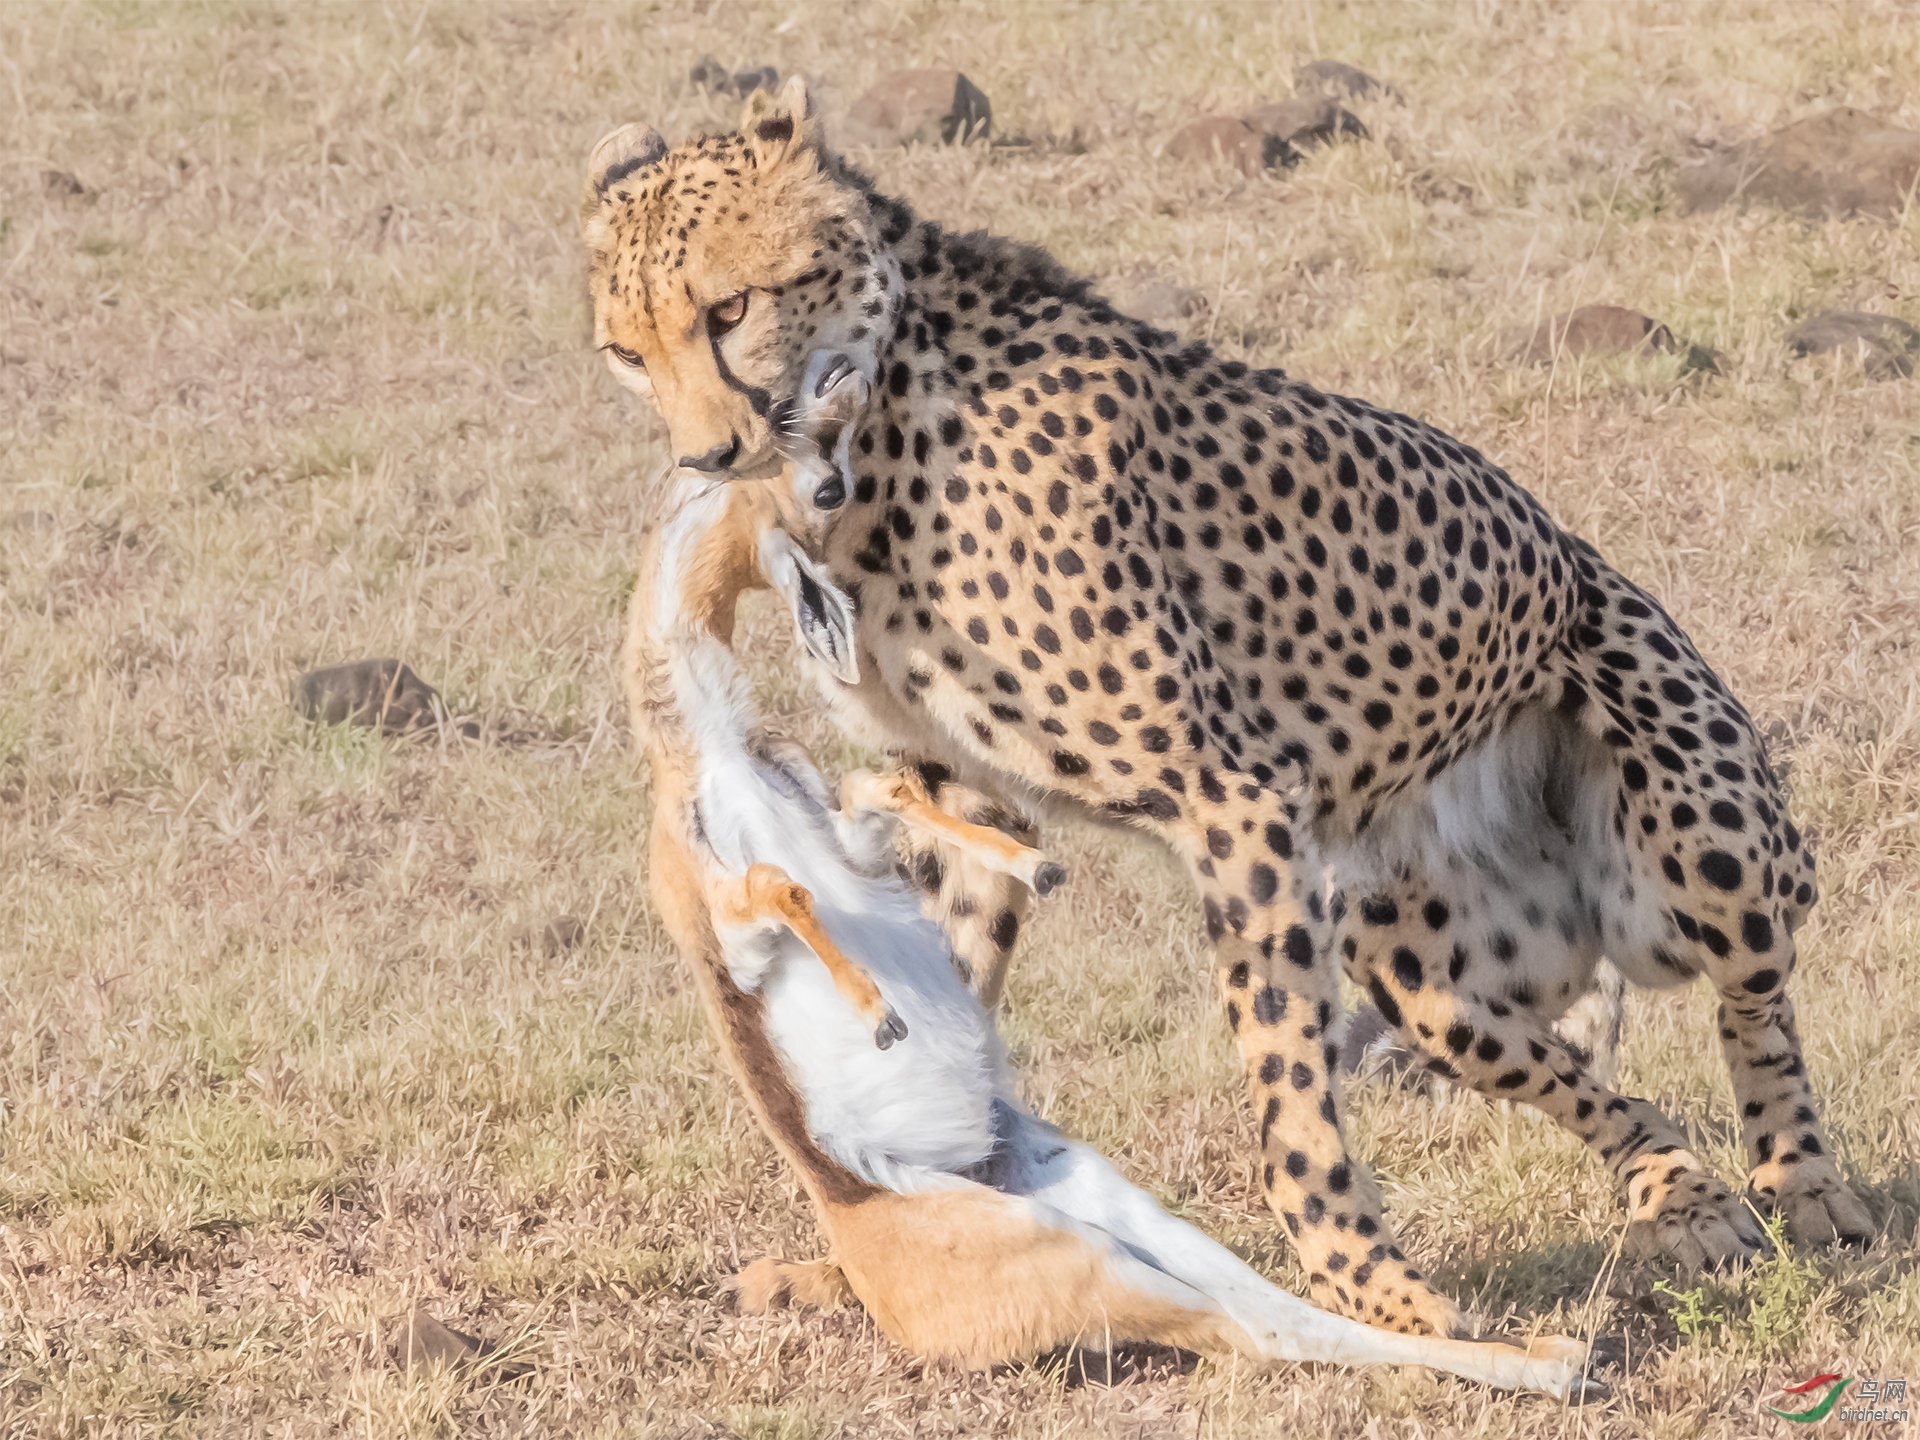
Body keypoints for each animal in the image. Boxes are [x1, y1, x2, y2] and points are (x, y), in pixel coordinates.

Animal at [576, 78, 1866, 1344]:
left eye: (731, 309)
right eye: (627, 352)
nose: (709, 454)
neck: (875, 428)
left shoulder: (1227, 794)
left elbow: (1285, 1088)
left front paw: (1366, 1291)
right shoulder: (970, 798)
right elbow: (942, 981)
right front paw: (901, 1214)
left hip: (1695, 856)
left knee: (1754, 996)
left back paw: (1800, 1185)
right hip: (1424, 970)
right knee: (1582, 1075)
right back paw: (1678, 1193)